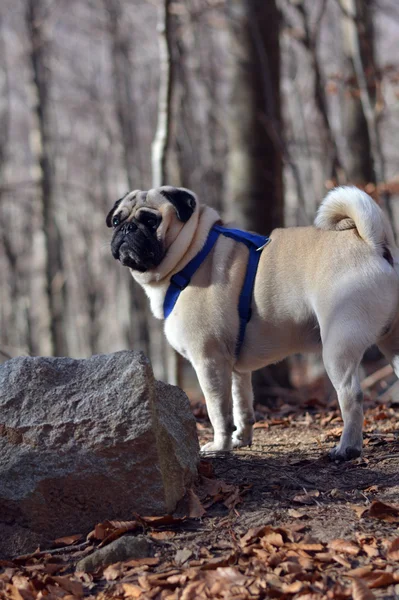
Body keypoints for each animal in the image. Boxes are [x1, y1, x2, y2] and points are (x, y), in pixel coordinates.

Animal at [107, 186, 399, 460]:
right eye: (117, 220)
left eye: (150, 220)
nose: (126, 228)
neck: (191, 256)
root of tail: (373, 244)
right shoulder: (236, 368)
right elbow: (242, 406)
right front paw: (240, 440)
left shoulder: (209, 361)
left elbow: (218, 412)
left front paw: (219, 446)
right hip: (391, 344)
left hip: (337, 346)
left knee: (351, 395)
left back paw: (347, 448)